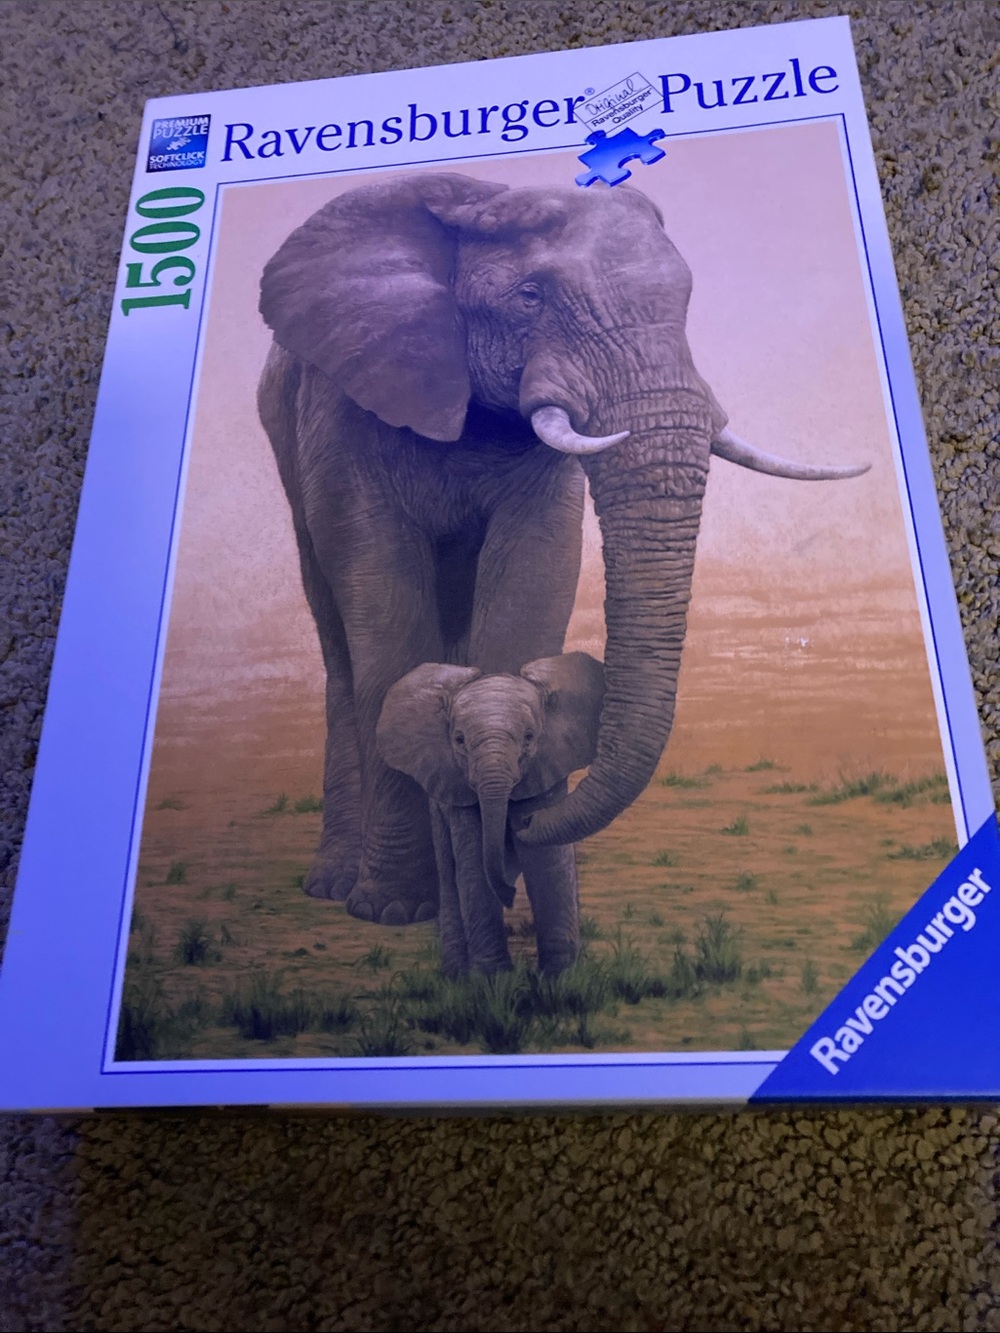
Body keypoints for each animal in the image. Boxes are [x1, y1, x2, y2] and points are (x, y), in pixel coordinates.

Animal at [256, 170, 868, 925]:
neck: (480, 195)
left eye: (684, 303)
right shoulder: (346, 405)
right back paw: (336, 885)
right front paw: (395, 910)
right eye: (530, 297)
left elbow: (530, 582)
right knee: (338, 640)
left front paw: (497, 878)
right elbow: (385, 610)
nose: (526, 823)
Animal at [376, 653, 605, 975]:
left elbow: (548, 862)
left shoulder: (545, 771)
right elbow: (473, 864)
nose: (508, 895)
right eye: (459, 740)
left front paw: (560, 978)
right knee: (450, 877)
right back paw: (456, 976)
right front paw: (495, 979)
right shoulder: (458, 793)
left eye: (529, 737)